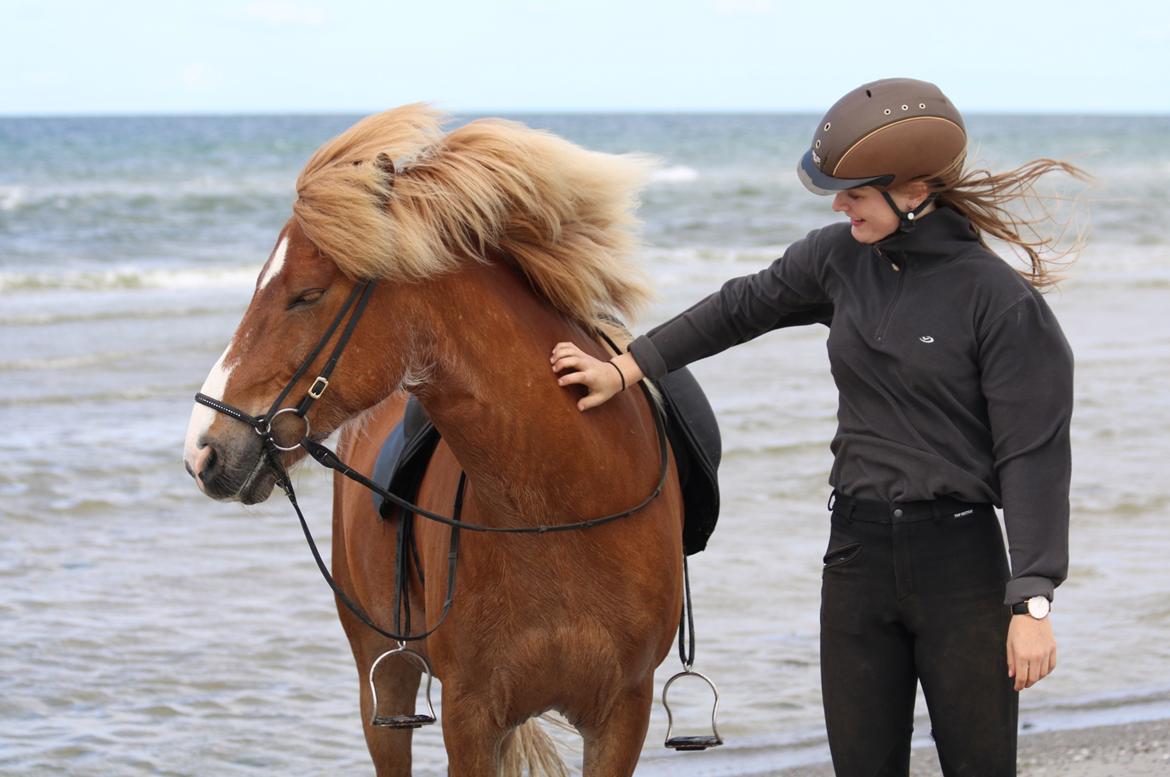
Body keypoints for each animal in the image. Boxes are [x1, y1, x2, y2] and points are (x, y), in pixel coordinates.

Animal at [182, 104, 683, 777]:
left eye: (307, 295)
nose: (203, 450)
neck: (559, 513)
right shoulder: (469, 716)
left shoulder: (622, 716)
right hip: (383, 680)